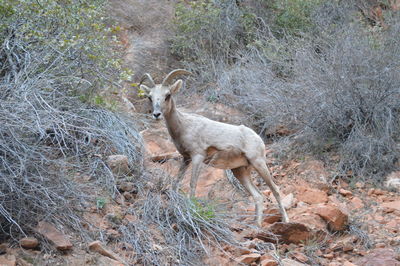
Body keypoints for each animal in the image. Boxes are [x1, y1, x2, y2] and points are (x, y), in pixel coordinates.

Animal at [139, 69, 290, 225]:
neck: (184, 126)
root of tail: (258, 139)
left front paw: (191, 210)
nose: (156, 114)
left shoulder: (197, 157)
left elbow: (192, 184)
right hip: (240, 171)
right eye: (150, 97)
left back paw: (285, 221)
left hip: (258, 163)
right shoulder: (186, 159)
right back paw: (256, 225)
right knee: (258, 196)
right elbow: (176, 182)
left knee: (275, 189)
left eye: (168, 95)